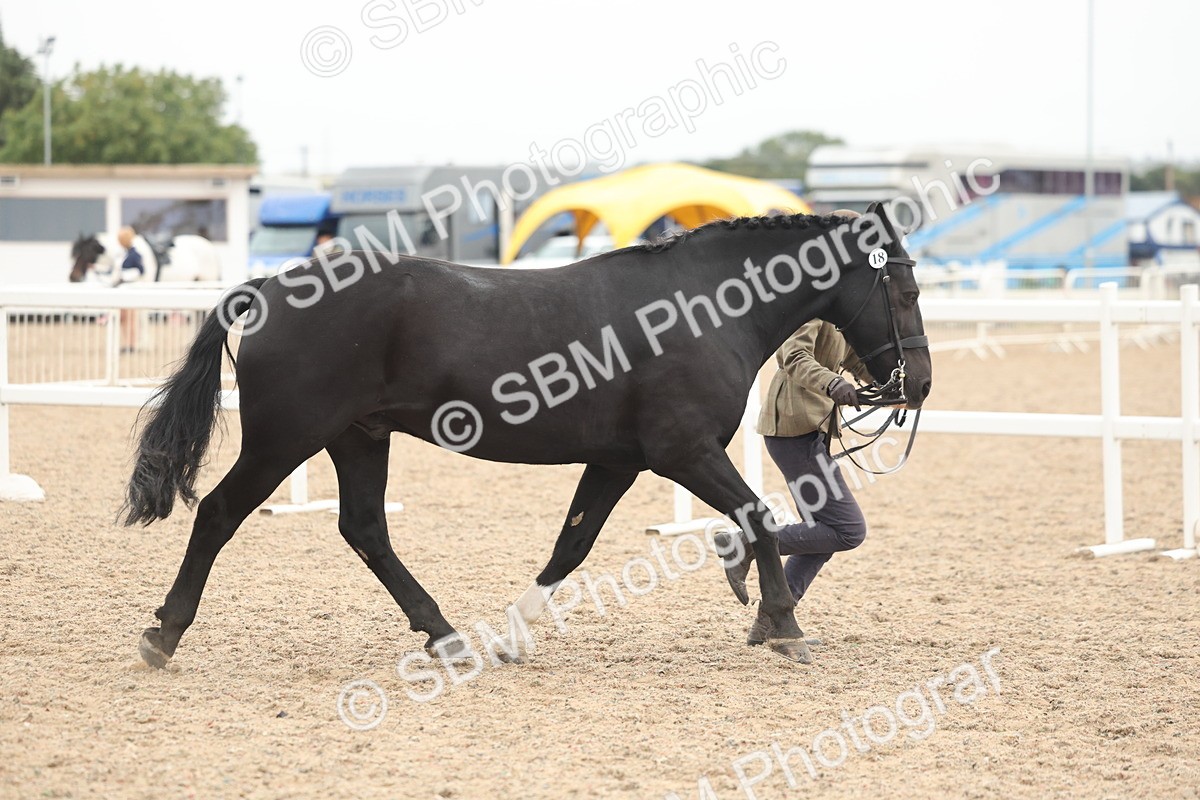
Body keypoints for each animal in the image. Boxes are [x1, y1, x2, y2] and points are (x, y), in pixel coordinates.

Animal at [123, 202, 932, 670]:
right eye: (903, 287)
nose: (917, 385)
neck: (701, 308)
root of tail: (270, 287)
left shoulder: (618, 462)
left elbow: (572, 545)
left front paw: (515, 636)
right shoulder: (685, 453)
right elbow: (759, 517)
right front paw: (784, 625)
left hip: (358, 436)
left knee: (365, 529)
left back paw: (446, 636)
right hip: (284, 438)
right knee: (219, 515)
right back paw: (162, 637)